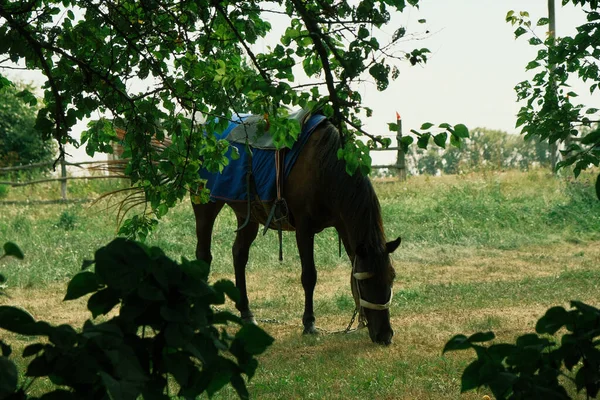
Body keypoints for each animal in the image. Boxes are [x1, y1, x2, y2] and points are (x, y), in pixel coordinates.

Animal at [192, 118, 400, 344]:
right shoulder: (304, 229)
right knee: (204, 255)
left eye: (391, 277)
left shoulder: (343, 225)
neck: (323, 167)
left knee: (239, 254)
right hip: (205, 205)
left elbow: (352, 263)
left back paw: (246, 313)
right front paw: (309, 323)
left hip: (248, 215)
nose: (385, 335)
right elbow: (309, 276)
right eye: (368, 283)